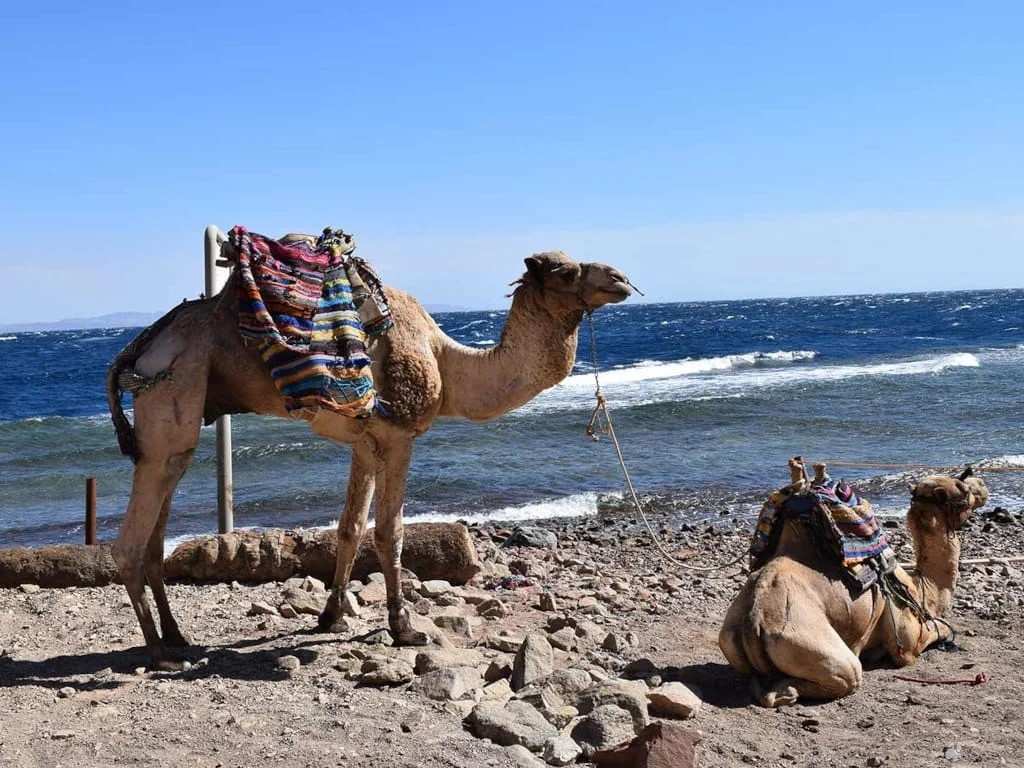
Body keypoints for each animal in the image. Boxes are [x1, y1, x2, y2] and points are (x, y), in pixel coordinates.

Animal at [106, 248, 633, 668]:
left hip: (181, 420)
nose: (620, 278)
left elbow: (349, 528)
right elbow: (388, 532)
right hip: (173, 392)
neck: (445, 360)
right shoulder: (399, 435)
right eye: (565, 270)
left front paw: (331, 617)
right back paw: (158, 651)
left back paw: (177, 636)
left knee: (156, 532)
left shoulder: (364, 442)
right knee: (130, 542)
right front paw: (405, 627)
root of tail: (139, 348)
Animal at [718, 463, 988, 707]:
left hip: (729, 638)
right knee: (844, 676)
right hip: (810, 644)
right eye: (964, 489)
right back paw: (789, 690)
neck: (921, 588)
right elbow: (937, 629)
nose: (982, 485)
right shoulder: (906, 641)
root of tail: (753, 621)